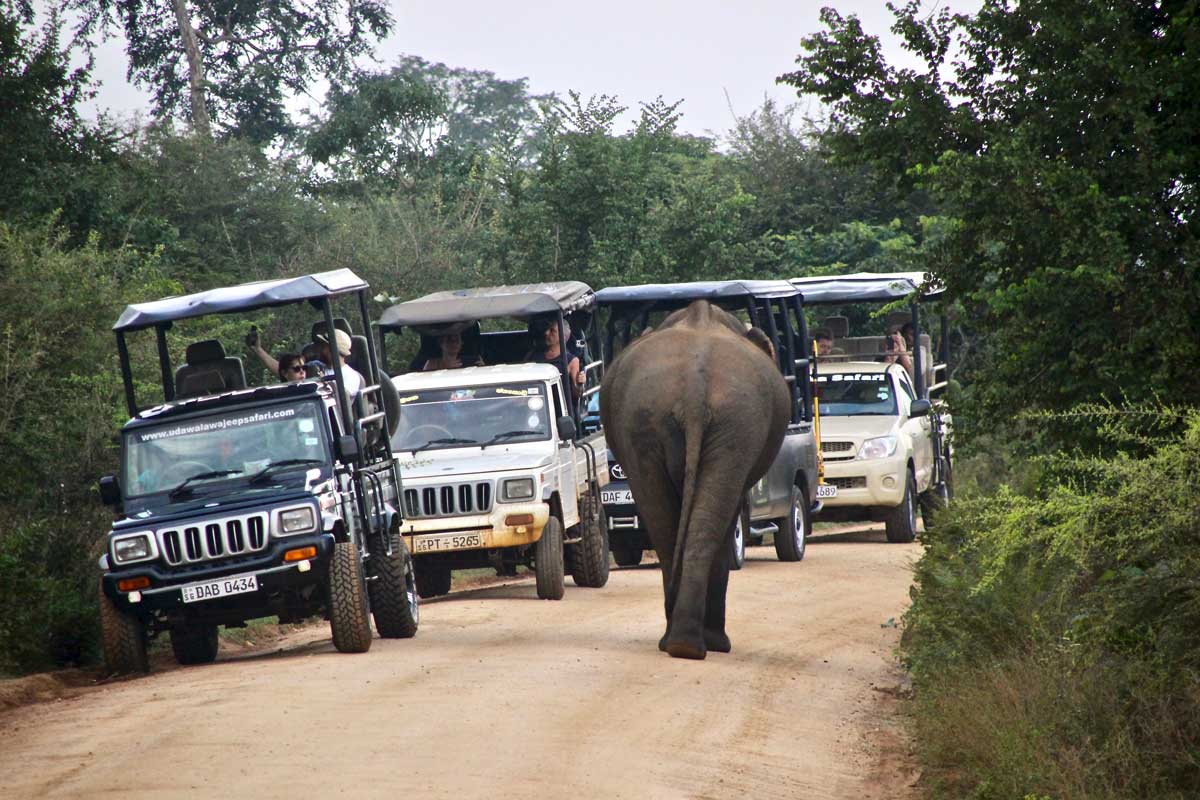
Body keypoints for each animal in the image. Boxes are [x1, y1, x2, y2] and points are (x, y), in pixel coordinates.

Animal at [597, 299, 787, 657]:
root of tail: (693, 392)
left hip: (649, 421)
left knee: (665, 524)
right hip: (736, 424)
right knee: (709, 525)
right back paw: (700, 644)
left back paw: (680, 643)